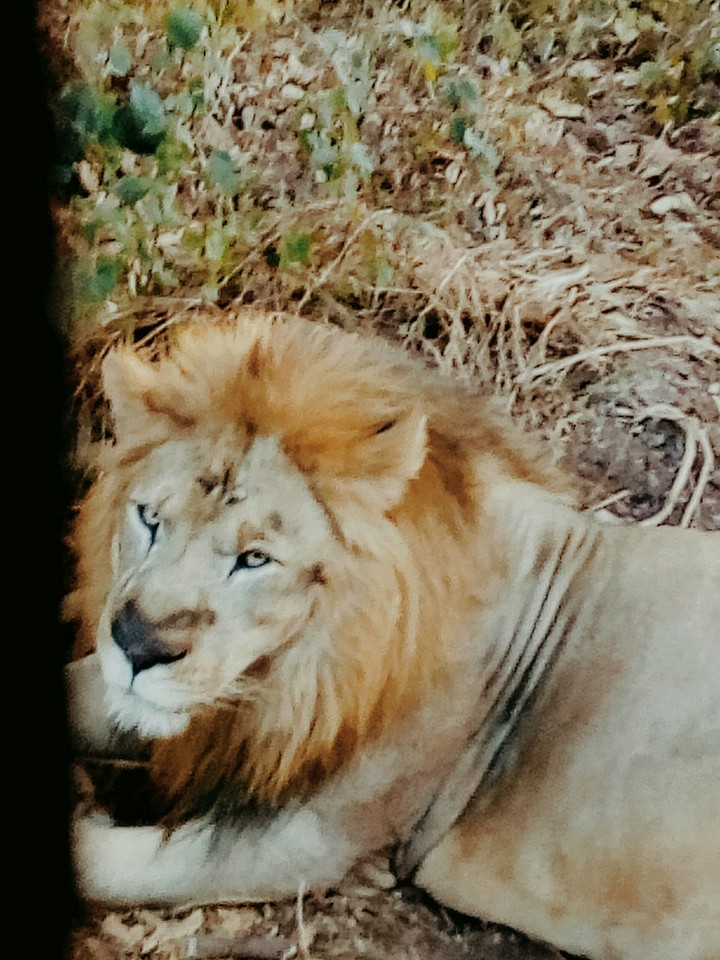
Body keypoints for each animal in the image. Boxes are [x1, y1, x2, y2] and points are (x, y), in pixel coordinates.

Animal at [66, 312, 720, 960]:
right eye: (150, 518)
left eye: (255, 560)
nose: (137, 645)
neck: (297, 672)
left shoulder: (315, 839)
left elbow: (97, 862)